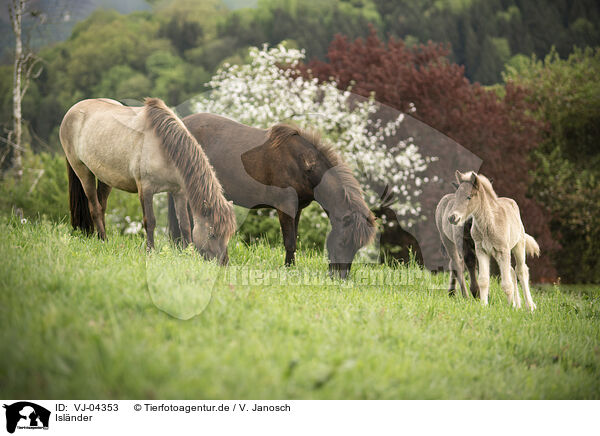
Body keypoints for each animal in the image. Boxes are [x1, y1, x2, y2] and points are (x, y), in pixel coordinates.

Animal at [59, 99, 236, 262]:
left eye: (228, 234)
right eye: (212, 234)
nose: (224, 263)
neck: (164, 147)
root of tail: (73, 110)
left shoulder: (179, 192)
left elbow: (185, 224)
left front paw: (188, 254)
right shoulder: (146, 190)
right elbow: (150, 222)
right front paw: (150, 252)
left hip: (105, 178)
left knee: (101, 206)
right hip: (83, 171)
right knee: (95, 207)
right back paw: (103, 240)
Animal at [169, 113, 376, 280]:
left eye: (357, 247)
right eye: (342, 241)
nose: (340, 277)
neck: (302, 164)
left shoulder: (297, 209)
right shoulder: (285, 208)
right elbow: (289, 242)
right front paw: (289, 269)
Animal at [446, 170, 540, 310]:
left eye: (469, 197)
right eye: (456, 196)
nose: (452, 217)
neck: (489, 224)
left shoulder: (503, 251)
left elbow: (506, 283)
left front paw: (510, 308)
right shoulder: (481, 251)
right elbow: (483, 280)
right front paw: (483, 306)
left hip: (518, 246)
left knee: (521, 270)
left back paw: (530, 306)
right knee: (512, 272)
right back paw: (518, 305)